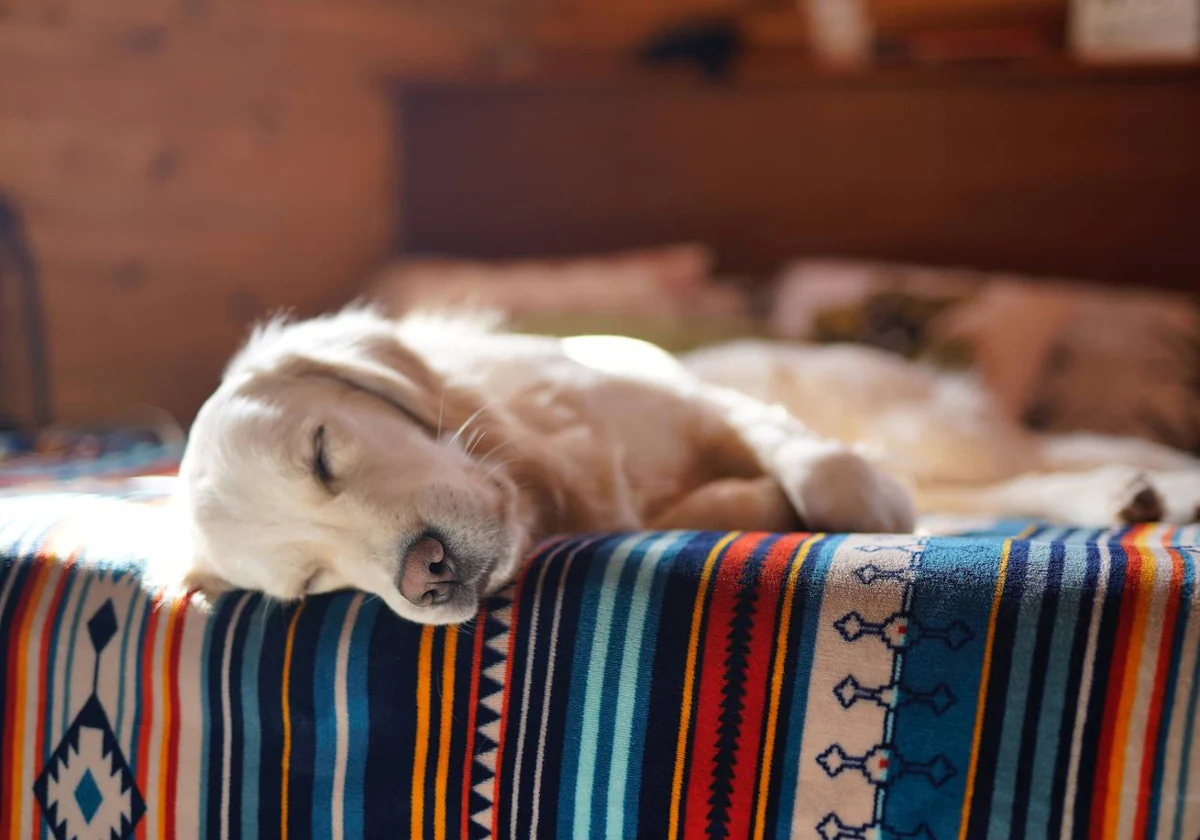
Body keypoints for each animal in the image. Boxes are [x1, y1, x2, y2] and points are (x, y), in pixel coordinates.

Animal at [177, 309, 1200, 624]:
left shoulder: (681, 392)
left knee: (1020, 462)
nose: (425, 579)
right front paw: (757, 500)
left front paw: (846, 495)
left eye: (322, 454)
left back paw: (1152, 479)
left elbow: (819, 470)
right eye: (312, 584)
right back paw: (1124, 493)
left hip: (927, 423)